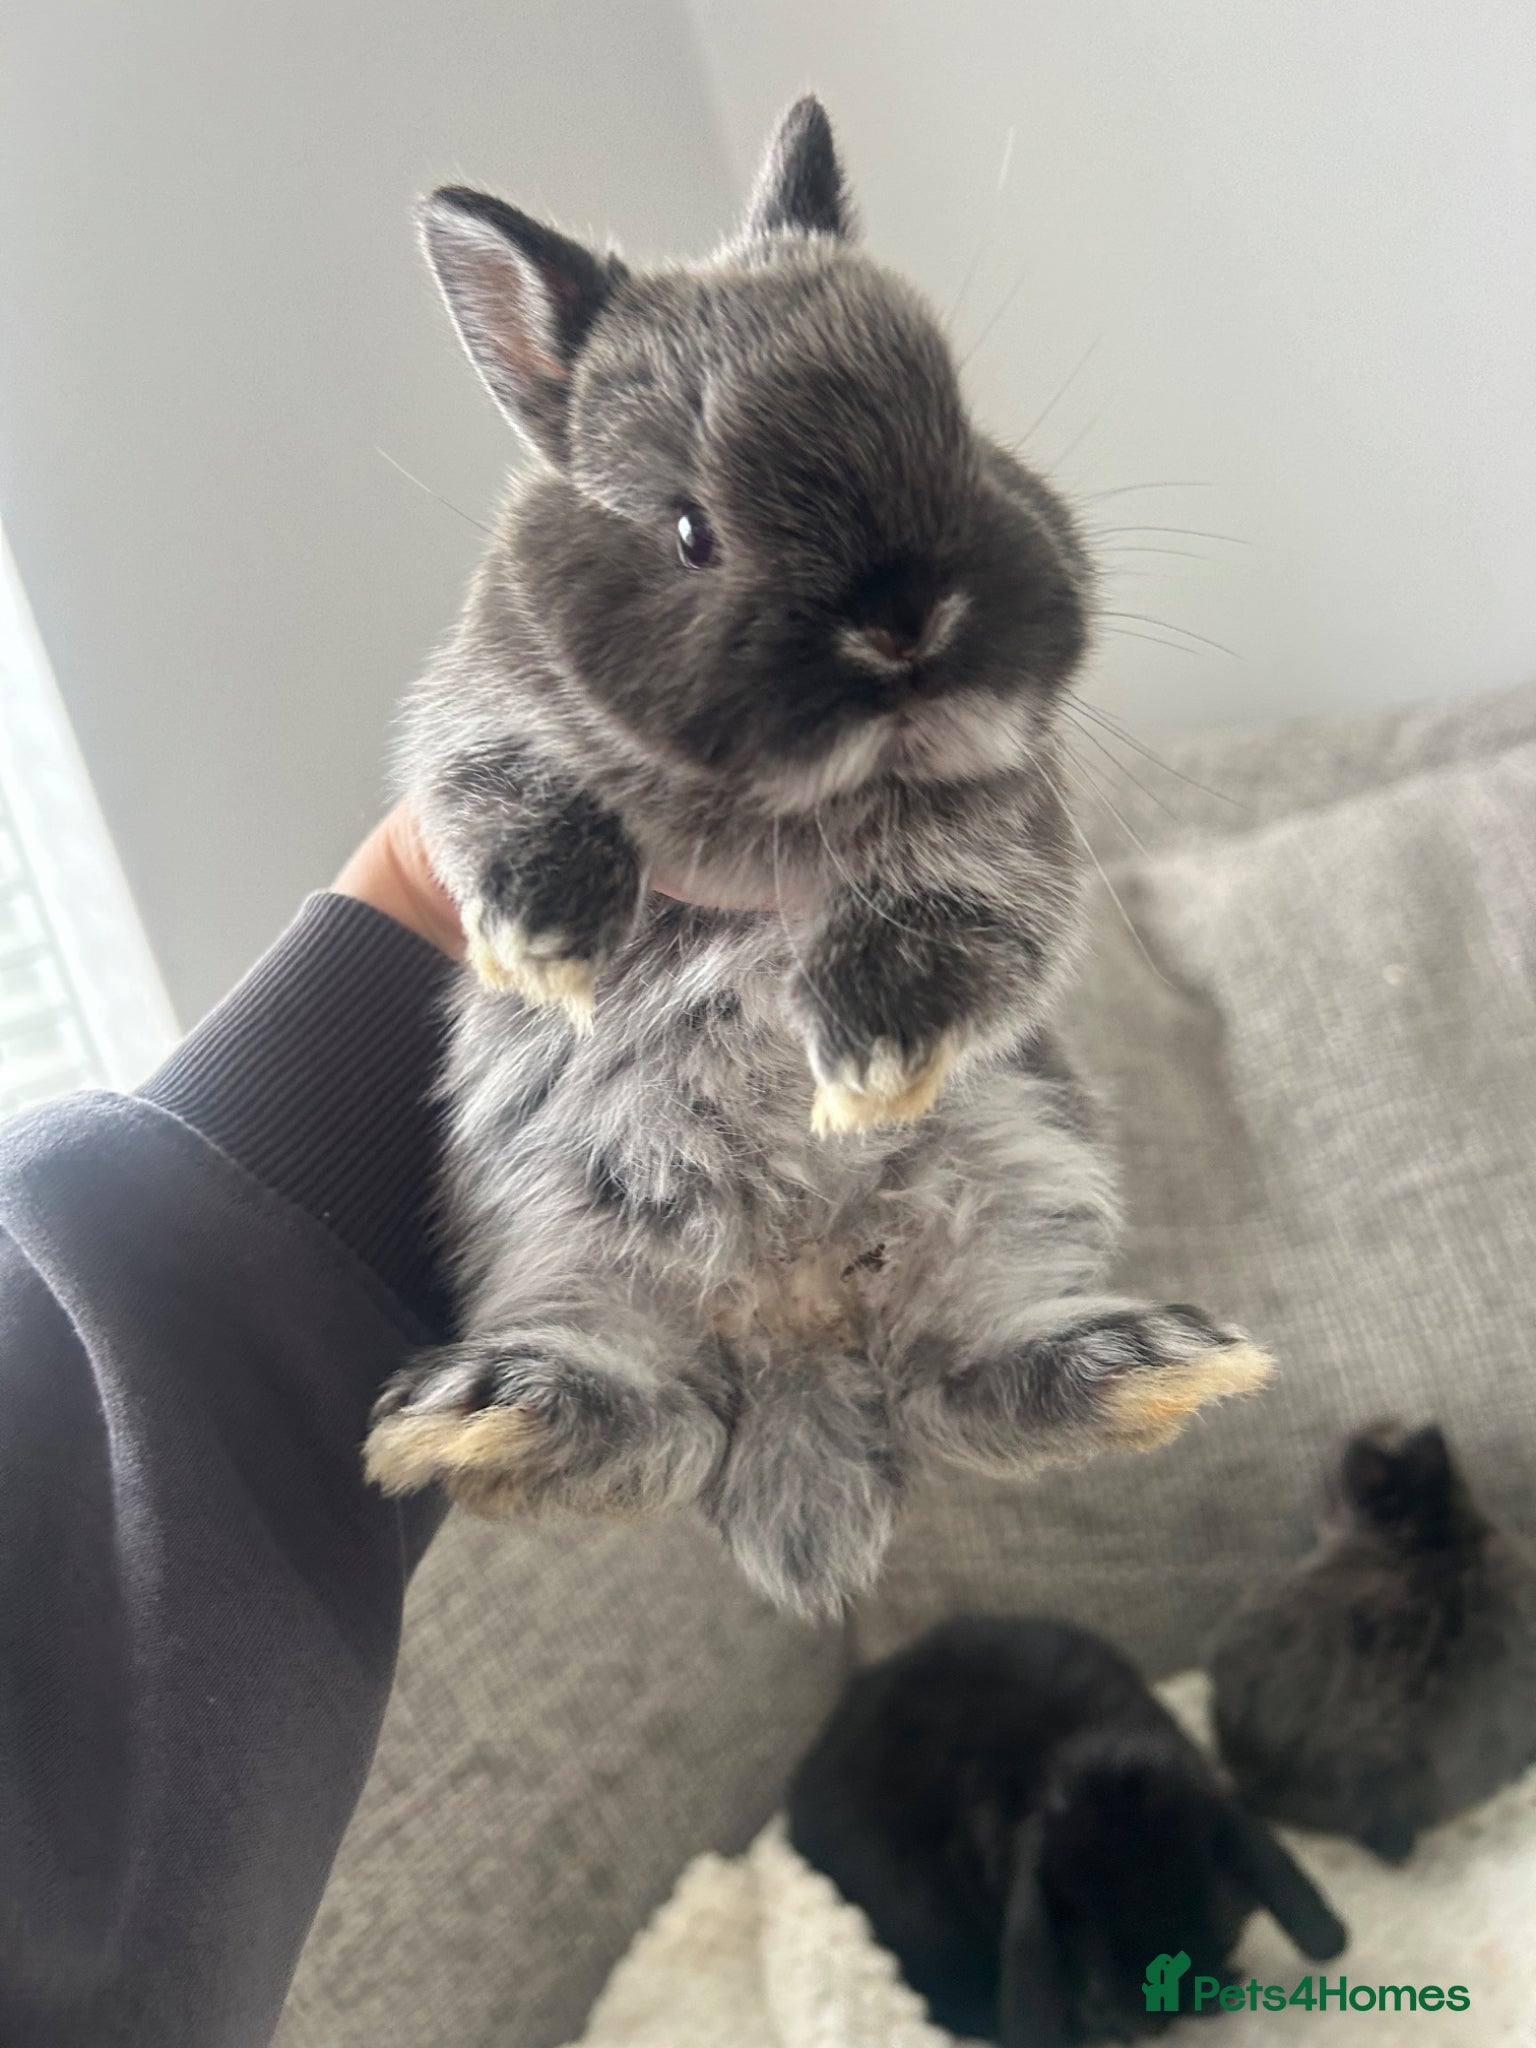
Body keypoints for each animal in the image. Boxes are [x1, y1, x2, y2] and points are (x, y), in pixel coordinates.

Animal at [362, 94, 1273, 1617]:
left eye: (965, 435)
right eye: (689, 529)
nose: (906, 621)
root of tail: (799, 1348)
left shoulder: (1001, 851)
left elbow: (947, 928)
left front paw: (865, 1069)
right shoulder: (485, 727)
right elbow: (515, 801)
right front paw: (546, 941)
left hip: (1020, 1180)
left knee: (961, 1381)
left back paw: (1150, 1369)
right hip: (567, 1236)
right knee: (656, 1418)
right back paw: (488, 1414)